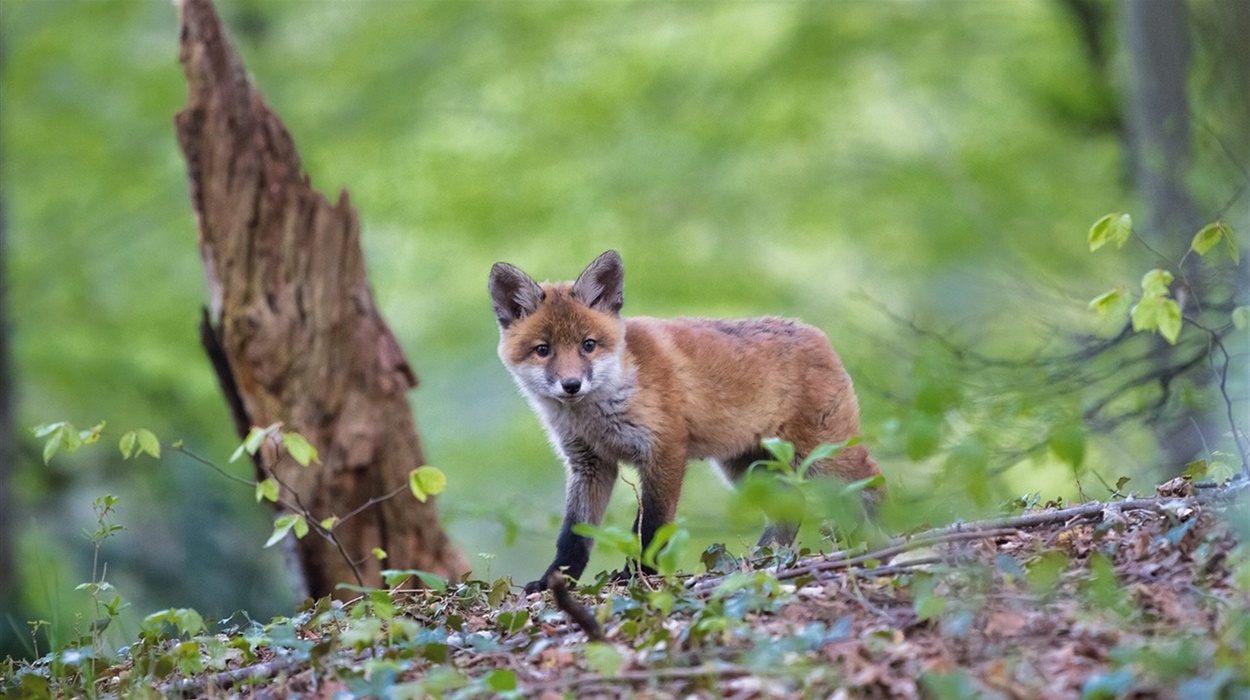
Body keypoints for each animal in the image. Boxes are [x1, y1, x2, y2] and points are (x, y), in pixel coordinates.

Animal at [485, 250, 880, 590]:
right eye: (543, 350)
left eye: (588, 345)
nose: (571, 385)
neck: (598, 415)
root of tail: (816, 333)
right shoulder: (590, 464)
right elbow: (573, 537)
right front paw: (555, 580)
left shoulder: (664, 451)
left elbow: (653, 527)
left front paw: (638, 575)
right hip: (748, 470)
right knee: (790, 512)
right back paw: (759, 561)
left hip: (822, 457)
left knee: (872, 482)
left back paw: (876, 540)